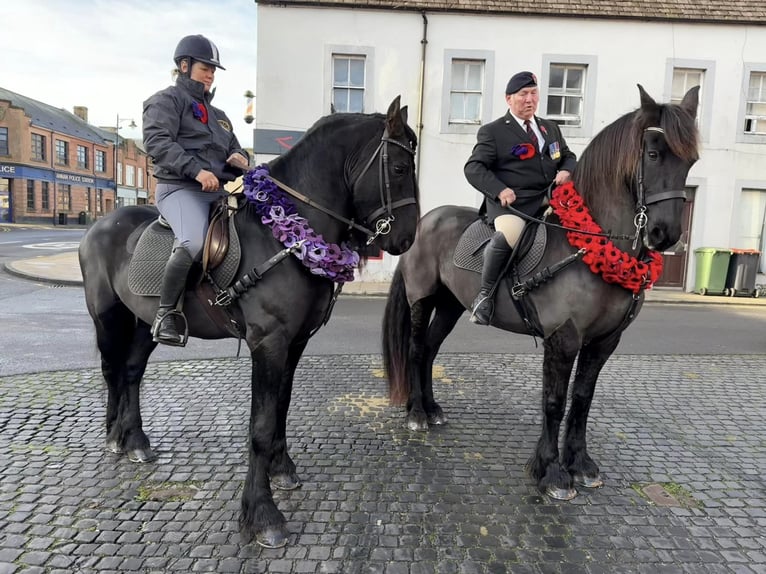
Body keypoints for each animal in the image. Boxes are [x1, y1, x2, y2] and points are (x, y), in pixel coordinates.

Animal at [79, 97, 420, 552]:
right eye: (399, 168)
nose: (407, 238)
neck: (286, 237)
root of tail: (99, 225)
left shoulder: (295, 342)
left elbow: (280, 409)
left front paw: (282, 467)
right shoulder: (269, 342)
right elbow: (259, 425)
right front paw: (261, 514)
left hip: (145, 321)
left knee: (131, 372)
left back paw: (134, 440)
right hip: (108, 317)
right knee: (112, 371)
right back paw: (115, 436)